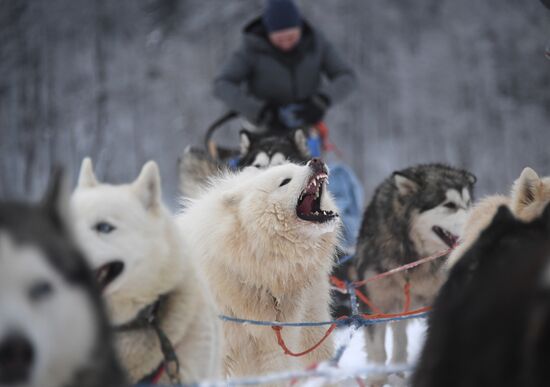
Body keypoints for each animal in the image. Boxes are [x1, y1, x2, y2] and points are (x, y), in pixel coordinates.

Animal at [356, 164, 476, 387]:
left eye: (468, 203)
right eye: (449, 204)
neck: (413, 257)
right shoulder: (376, 300)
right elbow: (377, 348)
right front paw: (377, 379)